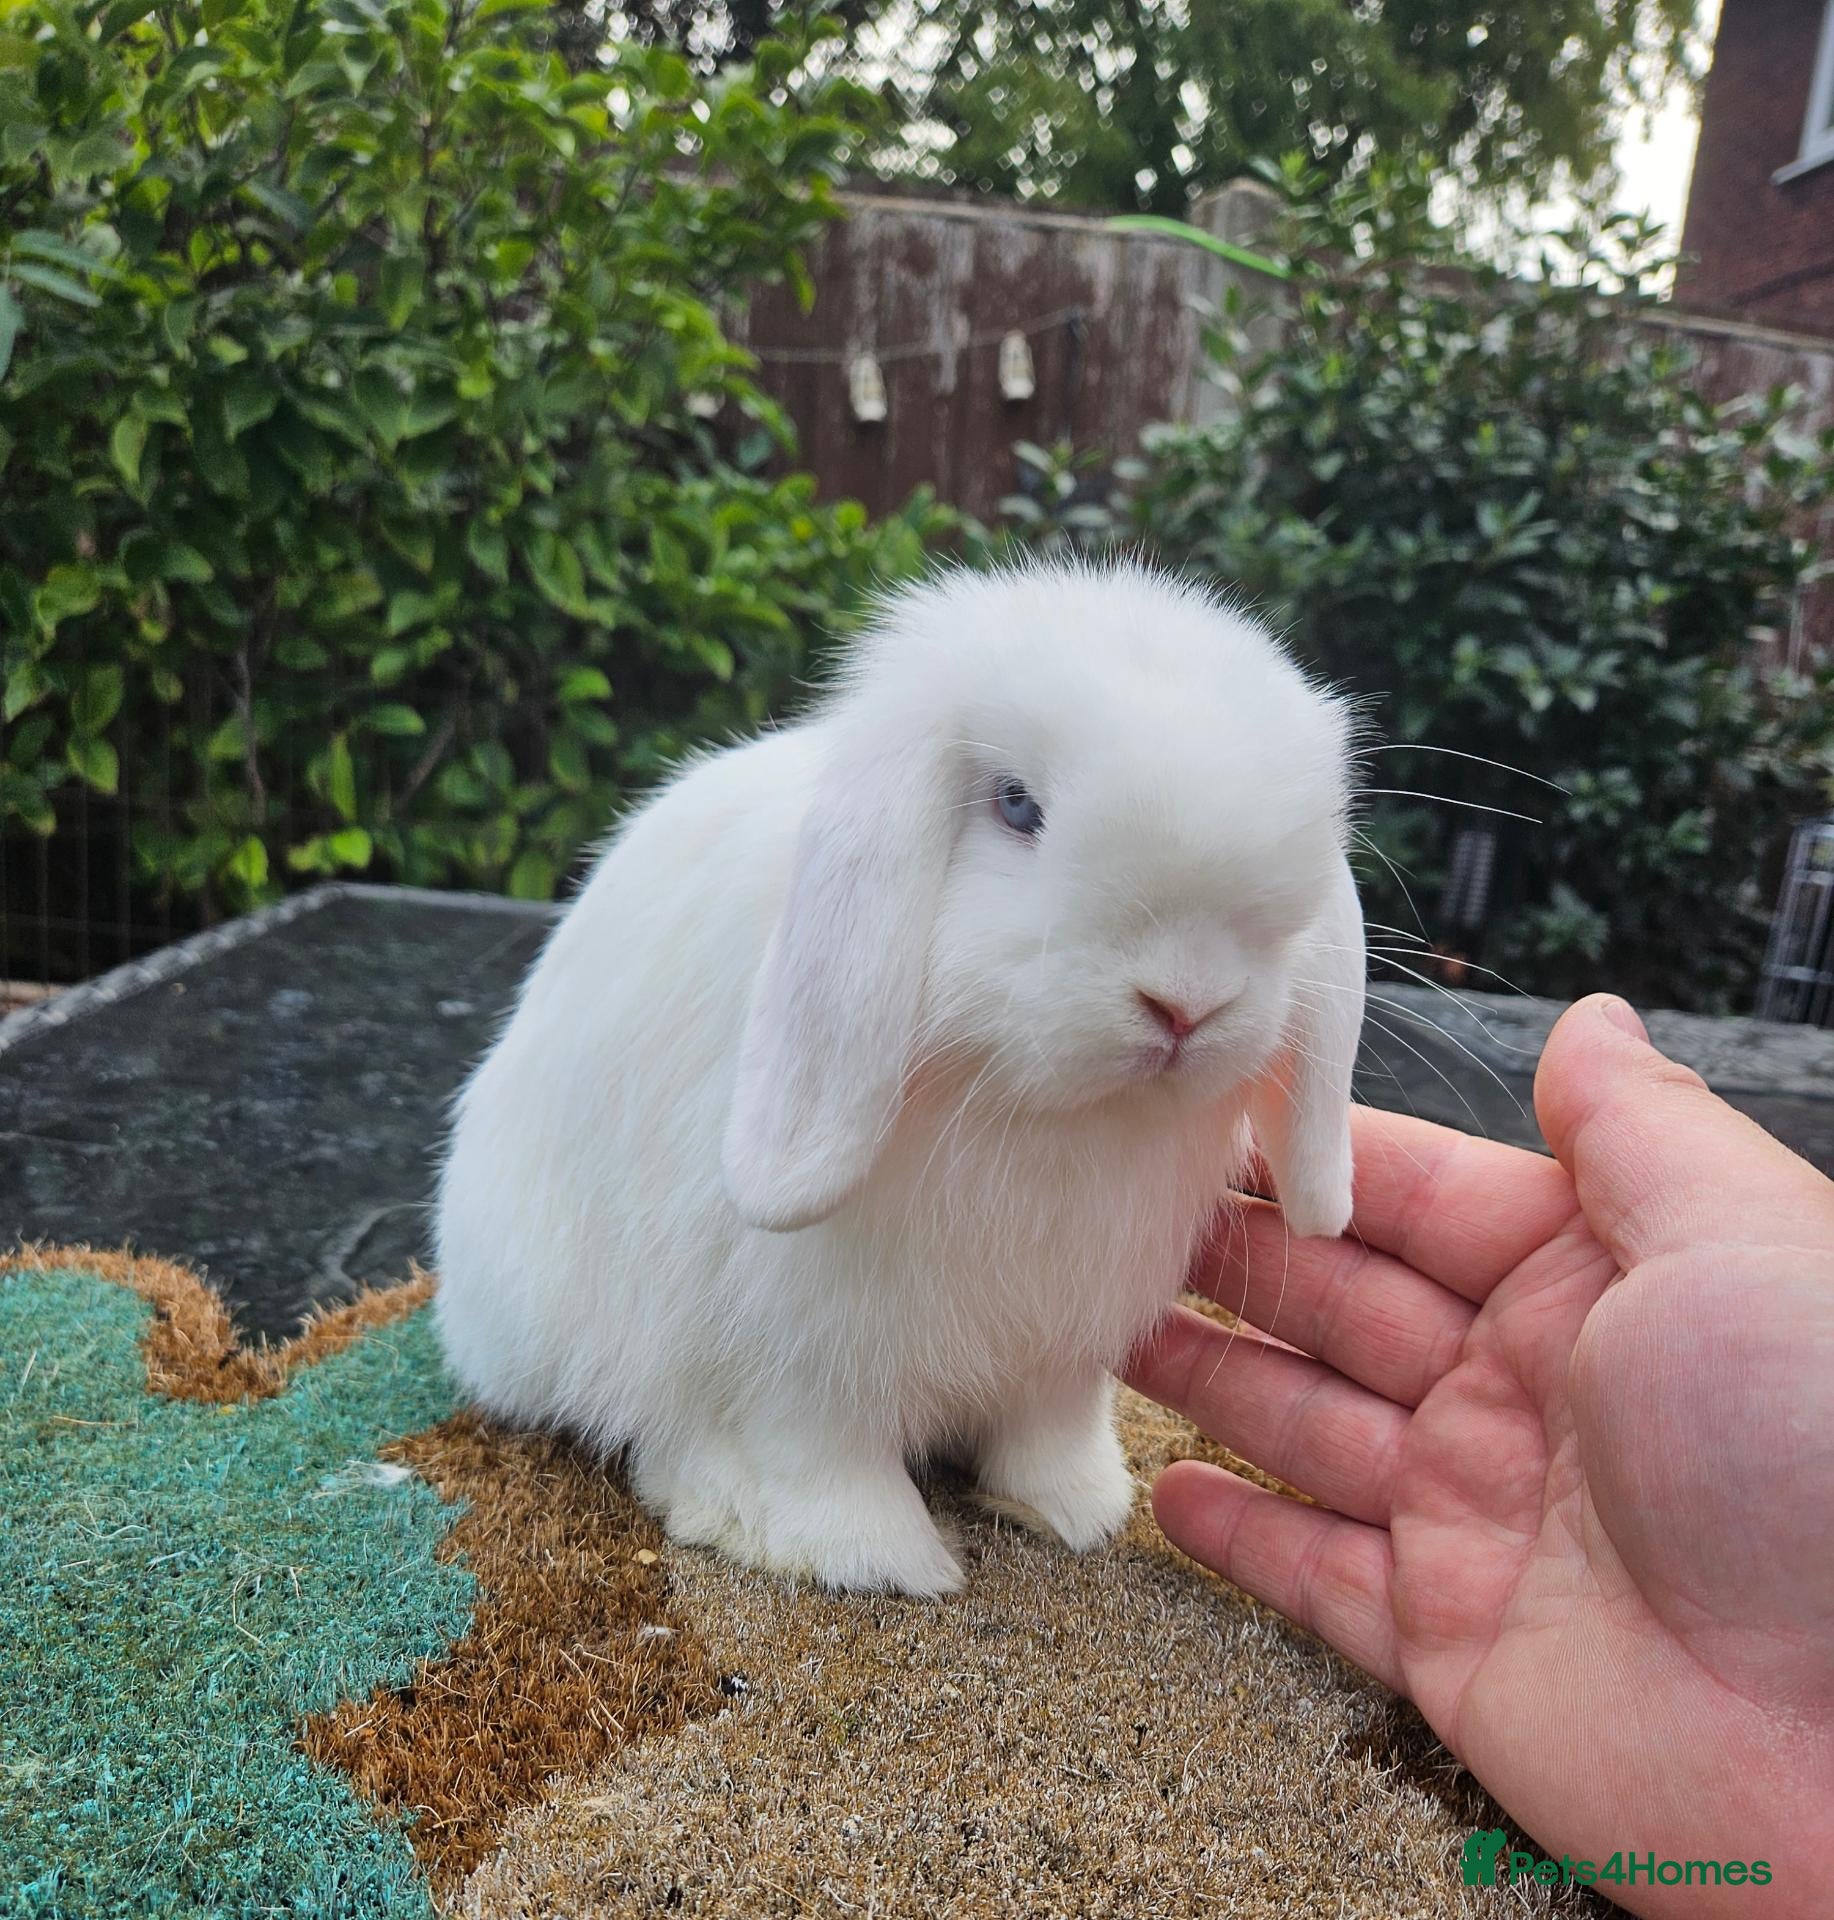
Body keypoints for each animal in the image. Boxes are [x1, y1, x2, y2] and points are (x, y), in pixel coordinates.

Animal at [434, 558, 1365, 1597]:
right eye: (1015, 804)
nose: (1186, 1002)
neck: (1040, 1117)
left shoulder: (1062, 1348)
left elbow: (1050, 1431)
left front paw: (1074, 1509)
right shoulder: (799, 1357)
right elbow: (822, 1458)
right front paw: (878, 1559)